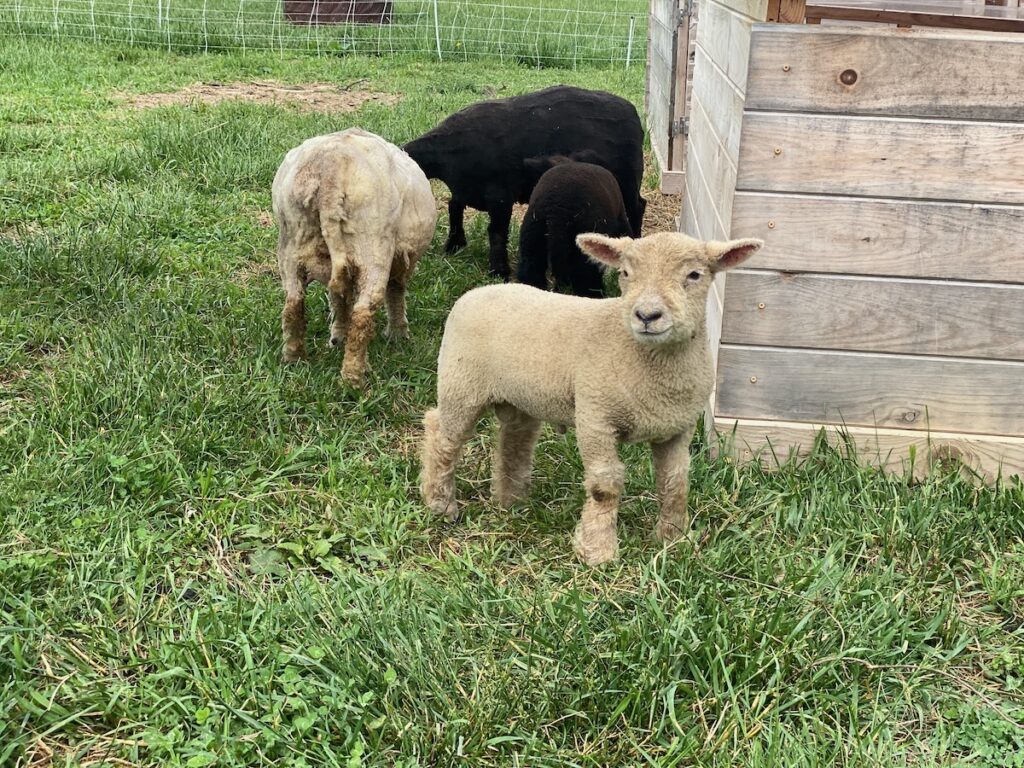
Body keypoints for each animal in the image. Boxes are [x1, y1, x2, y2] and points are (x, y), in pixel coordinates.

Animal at [272, 130, 436, 391]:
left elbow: (339, 299)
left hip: (290, 244)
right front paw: (398, 334)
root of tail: (330, 172)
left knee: (293, 305)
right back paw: (354, 378)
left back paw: (294, 358)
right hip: (373, 245)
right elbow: (396, 292)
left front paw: (338, 336)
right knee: (363, 313)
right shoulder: (400, 260)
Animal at [403, 85, 643, 280]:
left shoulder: (500, 196)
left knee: (637, 206)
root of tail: (632, 111)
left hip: (627, 178)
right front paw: (454, 245)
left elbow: (496, 232)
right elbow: (454, 208)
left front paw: (499, 270)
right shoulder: (464, 190)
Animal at [415, 233, 761, 565]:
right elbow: (604, 486)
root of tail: (475, 293)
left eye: (694, 275)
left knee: (514, 441)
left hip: (519, 398)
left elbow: (675, 481)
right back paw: (440, 503)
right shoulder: (596, 417)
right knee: (443, 436)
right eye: (625, 273)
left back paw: (511, 500)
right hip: (461, 383)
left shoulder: (678, 427)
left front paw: (674, 540)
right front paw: (598, 551)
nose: (647, 315)